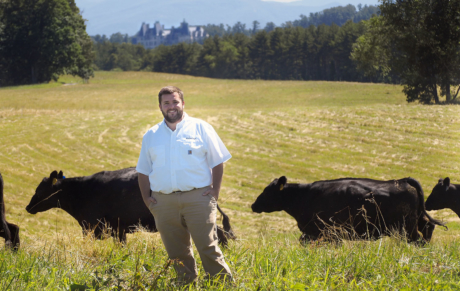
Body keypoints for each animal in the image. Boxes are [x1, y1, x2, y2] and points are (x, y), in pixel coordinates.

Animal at [252, 177, 446, 245]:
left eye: (267, 191)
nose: (253, 205)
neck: (304, 196)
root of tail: (402, 180)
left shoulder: (321, 232)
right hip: (417, 220)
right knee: (428, 227)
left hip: (407, 228)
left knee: (418, 240)